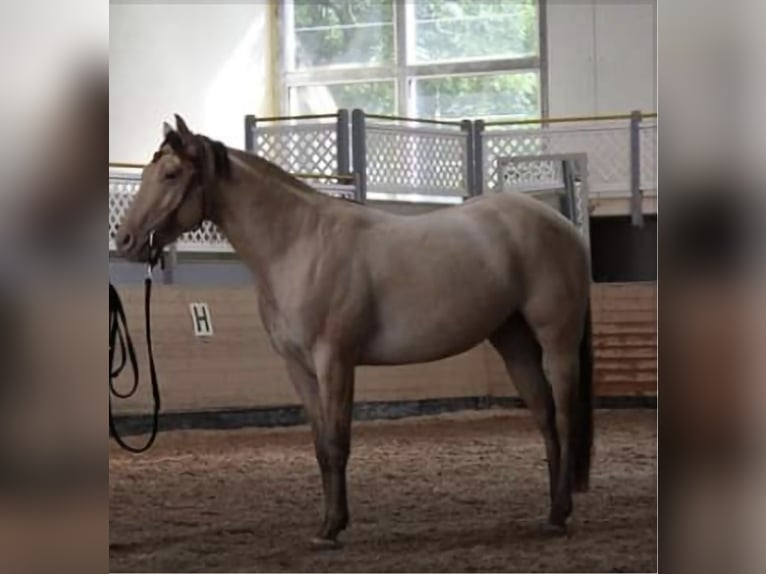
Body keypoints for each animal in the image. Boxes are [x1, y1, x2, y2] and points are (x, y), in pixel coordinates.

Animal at [115, 114, 594, 548]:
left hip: (557, 344)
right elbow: (319, 446)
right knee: (546, 420)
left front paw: (332, 528)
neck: (298, 244)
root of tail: (561, 225)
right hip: (514, 343)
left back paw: (559, 515)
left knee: (564, 418)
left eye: (171, 174)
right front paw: (329, 524)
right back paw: (555, 511)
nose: (125, 241)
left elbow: (337, 442)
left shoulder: (336, 361)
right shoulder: (299, 369)